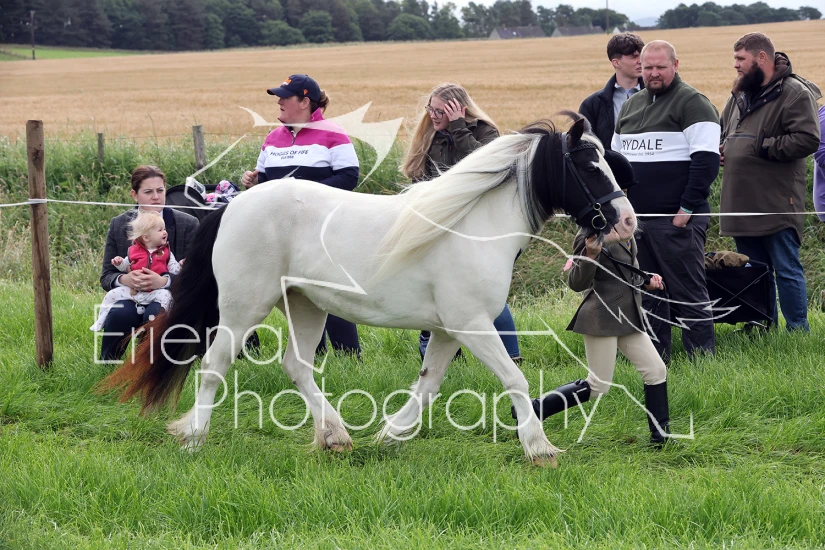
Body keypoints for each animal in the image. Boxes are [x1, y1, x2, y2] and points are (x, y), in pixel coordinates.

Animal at [101, 115, 637, 467]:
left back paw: (336, 437)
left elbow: (427, 383)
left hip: (305, 306)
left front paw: (392, 434)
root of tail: (232, 205)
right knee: (214, 365)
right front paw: (540, 448)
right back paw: (195, 438)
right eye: (590, 166)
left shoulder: (449, 330)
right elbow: (516, 380)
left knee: (296, 366)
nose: (627, 221)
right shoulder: (472, 325)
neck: (472, 226)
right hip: (242, 307)